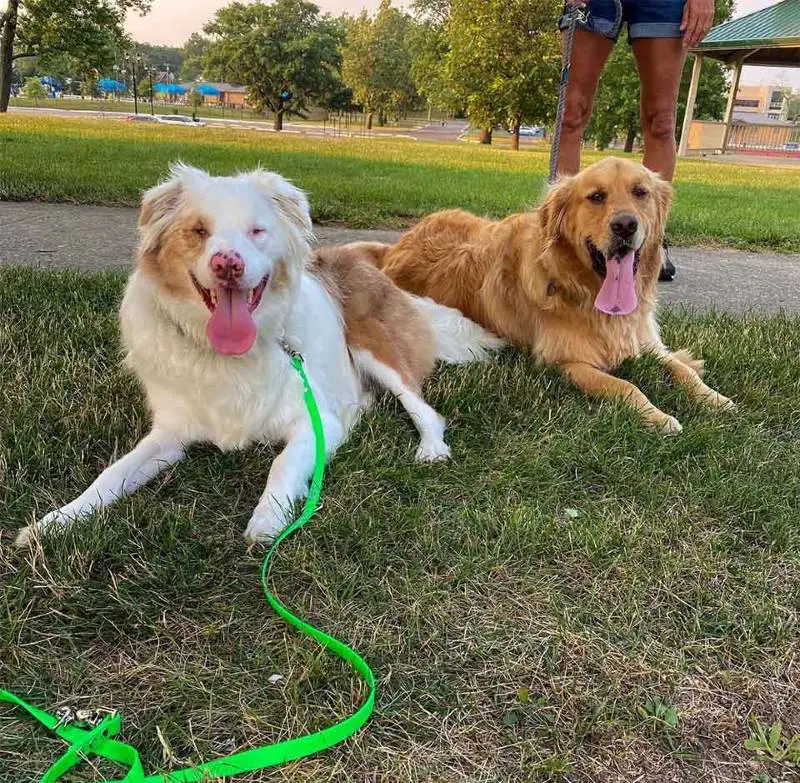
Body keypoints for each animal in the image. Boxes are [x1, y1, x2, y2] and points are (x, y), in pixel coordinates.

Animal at [14, 165, 500, 544]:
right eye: (198, 231)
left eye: (257, 231)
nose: (227, 263)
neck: (226, 354)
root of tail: (363, 263)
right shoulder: (169, 435)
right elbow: (110, 475)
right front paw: (54, 522)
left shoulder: (314, 423)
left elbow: (282, 466)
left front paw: (268, 520)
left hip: (377, 348)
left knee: (423, 409)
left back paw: (431, 448)